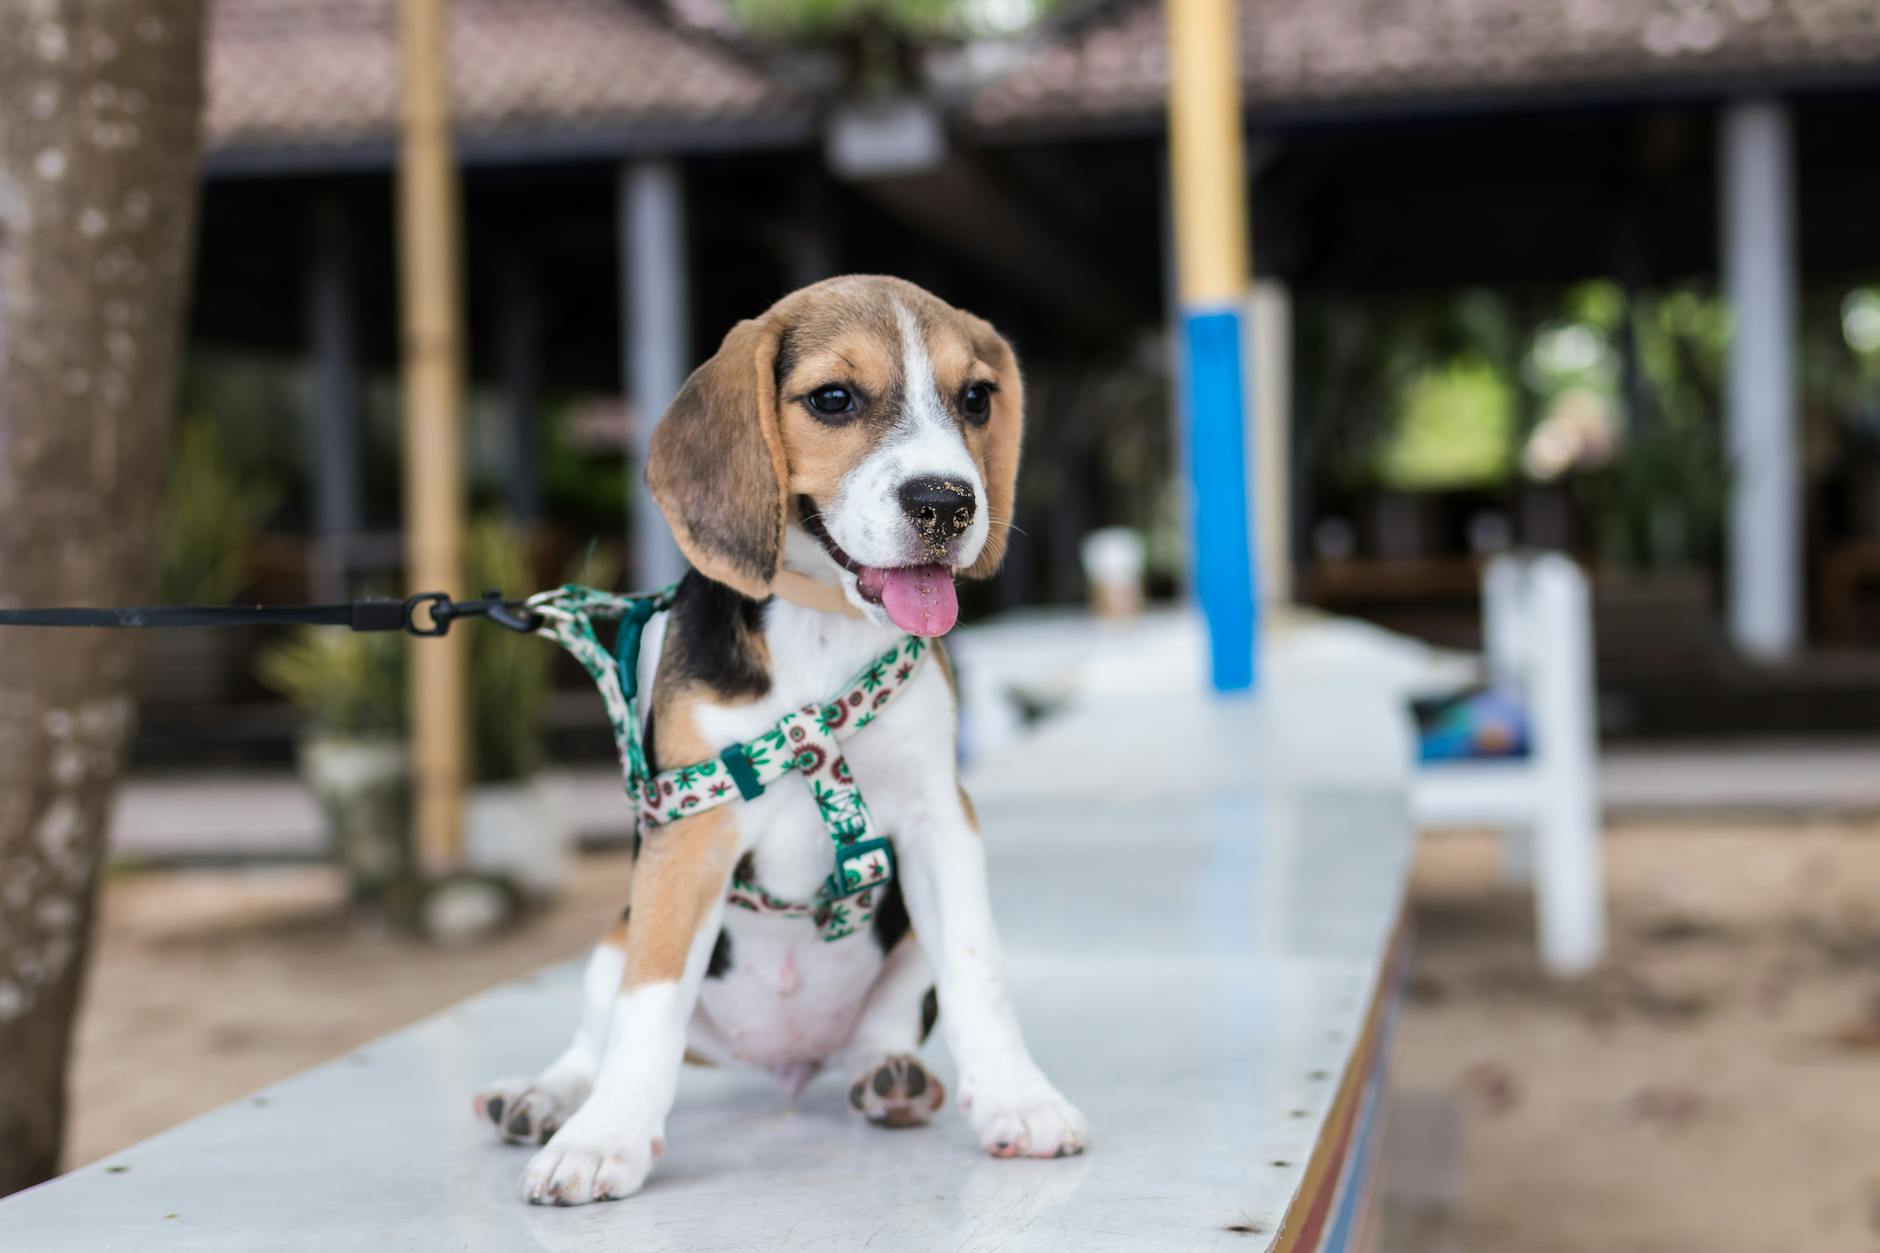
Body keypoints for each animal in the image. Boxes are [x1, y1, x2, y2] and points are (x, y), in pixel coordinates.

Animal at [473, 276, 1090, 1204]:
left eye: (977, 398)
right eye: (833, 399)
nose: (947, 503)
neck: (823, 622)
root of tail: (785, 1062)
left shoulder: (939, 818)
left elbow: (978, 967)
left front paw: (1020, 1099)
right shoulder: (689, 829)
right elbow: (647, 1005)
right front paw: (603, 1139)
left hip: (903, 950)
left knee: (885, 1026)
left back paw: (890, 1077)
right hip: (612, 936)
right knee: (597, 1031)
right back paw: (545, 1097)